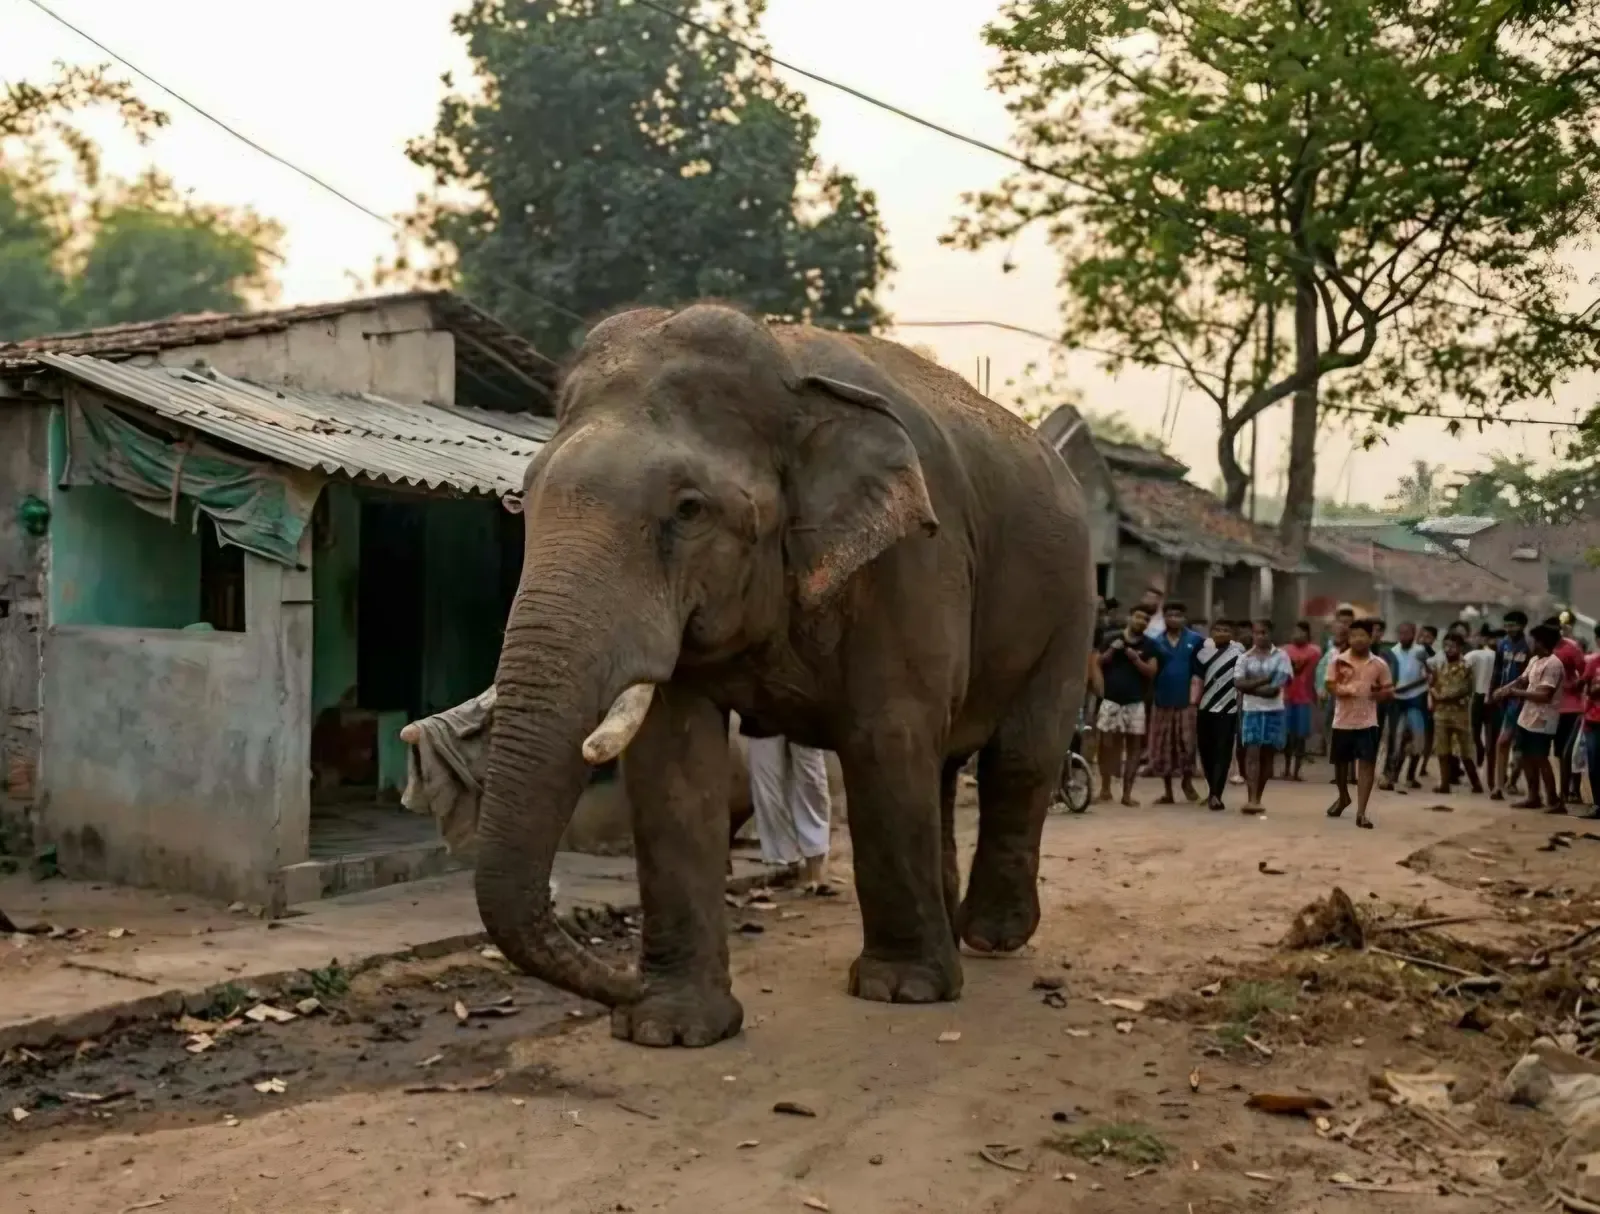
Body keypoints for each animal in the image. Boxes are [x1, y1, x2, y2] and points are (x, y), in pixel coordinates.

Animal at [476, 302, 1094, 1048]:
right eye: (525, 498)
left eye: (689, 509)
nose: (621, 985)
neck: (789, 372)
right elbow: (672, 762)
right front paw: (670, 1028)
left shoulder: (917, 557)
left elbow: (887, 736)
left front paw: (902, 991)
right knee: (946, 766)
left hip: (1070, 604)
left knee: (1020, 758)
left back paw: (990, 939)